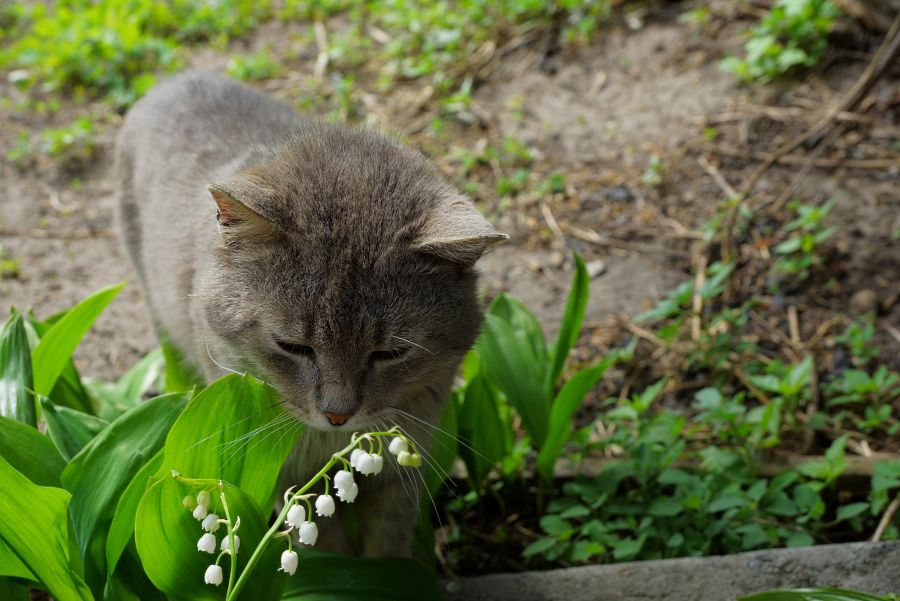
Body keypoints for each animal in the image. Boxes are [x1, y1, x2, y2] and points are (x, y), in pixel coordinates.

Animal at [114, 71, 506, 556]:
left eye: (390, 353)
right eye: (292, 346)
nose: (338, 415)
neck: (330, 442)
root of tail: (178, 78)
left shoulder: (401, 472)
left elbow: (388, 547)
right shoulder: (297, 481)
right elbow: (328, 546)